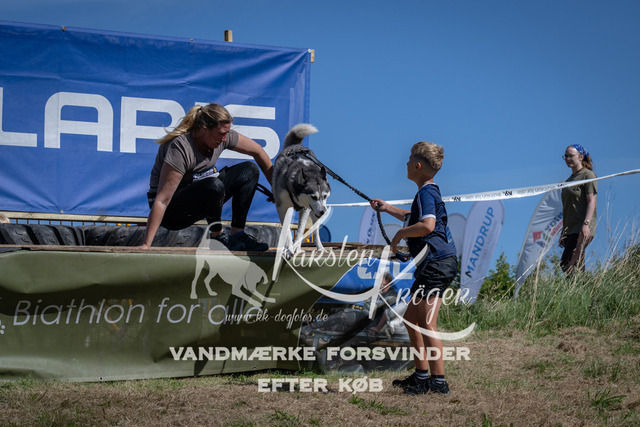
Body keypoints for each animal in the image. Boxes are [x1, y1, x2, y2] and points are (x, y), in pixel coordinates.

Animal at [272, 124, 330, 257]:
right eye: (313, 197)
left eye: (325, 196)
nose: (323, 212)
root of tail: (296, 146)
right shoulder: (282, 207)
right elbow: (287, 231)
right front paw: (289, 249)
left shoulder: (305, 209)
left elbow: (299, 231)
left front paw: (296, 249)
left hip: (313, 213)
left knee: (315, 231)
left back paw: (320, 248)